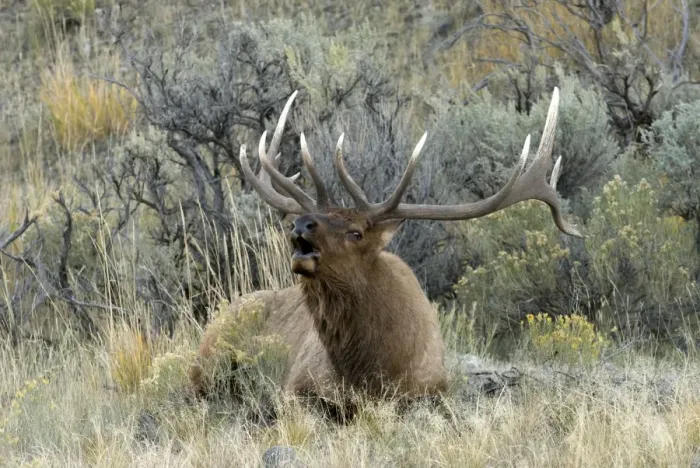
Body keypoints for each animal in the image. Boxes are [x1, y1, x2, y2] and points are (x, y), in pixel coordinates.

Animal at [188, 87, 581, 414]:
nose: (300, 224)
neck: (373, 367)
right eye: (307, 219)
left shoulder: (431, 391)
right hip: (206, 360)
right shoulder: (297, 386)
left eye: (357, 232)